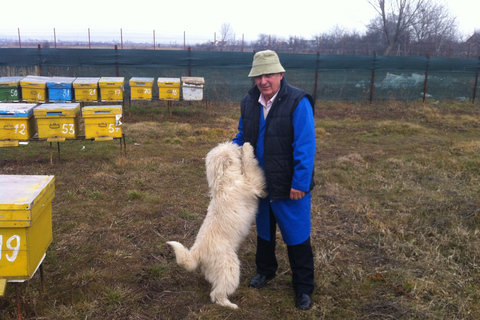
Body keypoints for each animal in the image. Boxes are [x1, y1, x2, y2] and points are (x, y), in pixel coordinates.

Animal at [168, 142, 266, 308]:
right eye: (232, 148)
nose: (239, 143)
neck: (224, 181)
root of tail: (196, 253)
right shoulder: (251, 182)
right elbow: (250, 166)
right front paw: (247, 148)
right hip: (229, 267)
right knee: (217, 294)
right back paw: (230, 305)